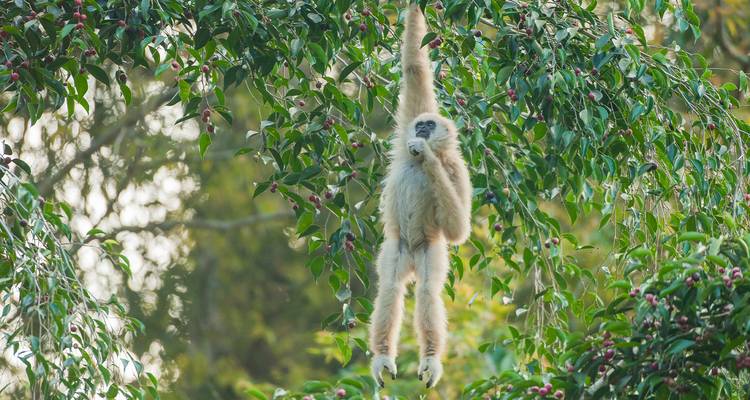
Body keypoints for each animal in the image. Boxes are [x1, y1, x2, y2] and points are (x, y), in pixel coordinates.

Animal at [368, 4, 472, 390]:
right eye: (421, 123)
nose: (422, 130)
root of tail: (412, 253)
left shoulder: (457, 169)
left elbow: (458, 230)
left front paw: (427, 157)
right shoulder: (406, 129)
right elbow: (415, 68)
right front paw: (415, 7)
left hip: (429, 249)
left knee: (427, 290)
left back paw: (430, 359)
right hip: (396, 248)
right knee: (390, 288)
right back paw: (383, 356)